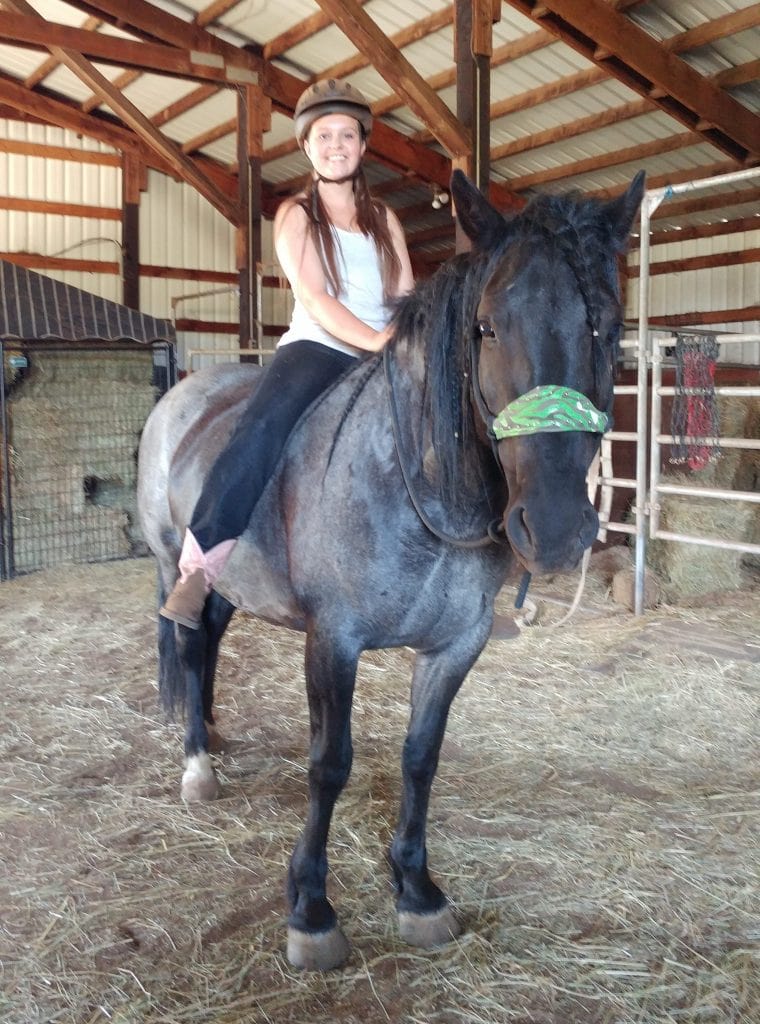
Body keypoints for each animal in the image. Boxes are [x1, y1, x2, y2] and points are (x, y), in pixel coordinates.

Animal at [137, 172, 643, 970]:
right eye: (487, 327)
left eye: (610, 327)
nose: (559, 528)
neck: (418, 488)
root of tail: (183, 395)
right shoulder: (333, 641)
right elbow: (330, 763)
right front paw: (311, 909)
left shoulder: (455, 646)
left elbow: (420, 757)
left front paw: (417, 890)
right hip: (170, 561)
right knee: (187, 642)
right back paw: (197, 764)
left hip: (228, 582)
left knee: (210, 640)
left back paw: (209, 729)